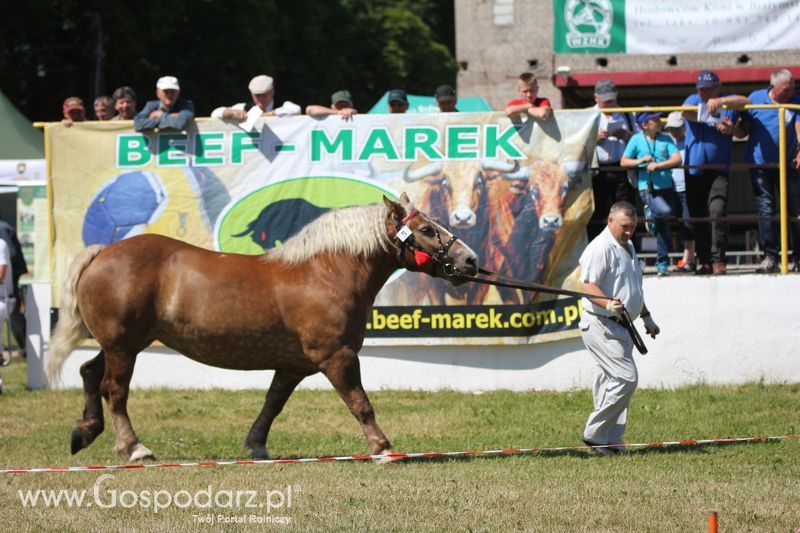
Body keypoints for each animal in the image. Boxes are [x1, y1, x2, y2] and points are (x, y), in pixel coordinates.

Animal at [47, 195, 478, 462]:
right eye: (426, 230)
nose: (470, 260)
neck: (325, 272)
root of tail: (104, 252)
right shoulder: (336, 357)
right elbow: (360, 403)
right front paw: (383, 447)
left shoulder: (292, 365)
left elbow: (272, 404)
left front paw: (256, 446)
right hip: (123, 346)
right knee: (114, 390)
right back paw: (133, 447)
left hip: (124, 343)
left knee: (89, 372)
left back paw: (84, 432)